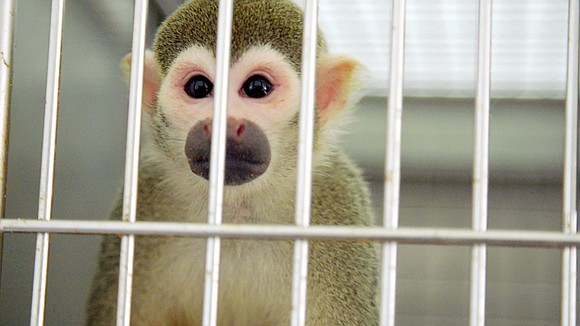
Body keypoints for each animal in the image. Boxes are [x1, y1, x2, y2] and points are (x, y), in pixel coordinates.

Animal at [86, 0, 376, 324]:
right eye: (199, 87)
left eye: (257, 88)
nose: (223, 124)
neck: (234, 211)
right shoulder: (144, 197)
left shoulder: (338, 209)